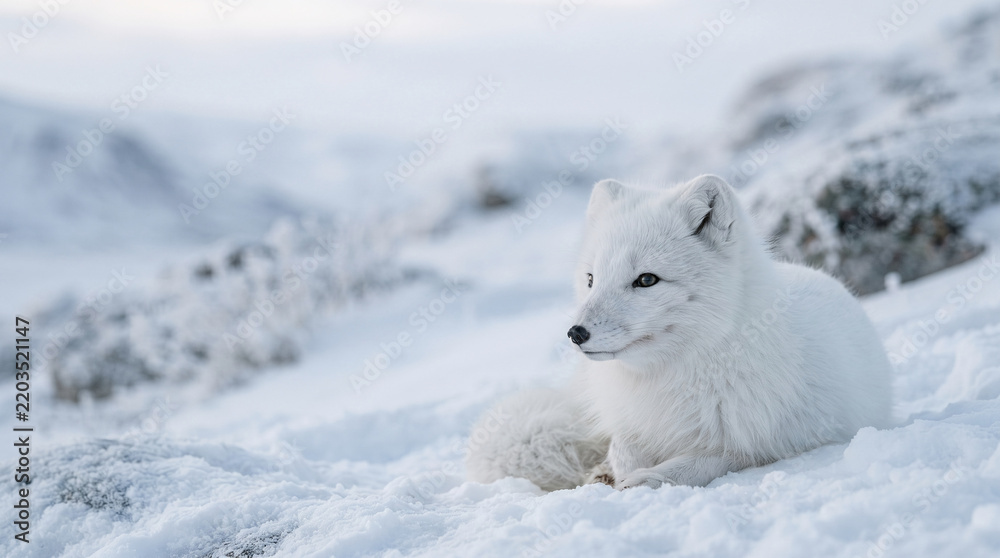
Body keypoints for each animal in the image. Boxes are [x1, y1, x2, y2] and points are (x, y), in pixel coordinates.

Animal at [466, 175, 892, 490]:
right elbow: (622, 444)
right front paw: (620, 468)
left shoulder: (758, 445)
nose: (575, 333)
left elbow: (701, 463)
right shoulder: (629, 418)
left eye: (646, 280)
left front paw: (645, 479)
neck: (668, 375)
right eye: (591, 279)